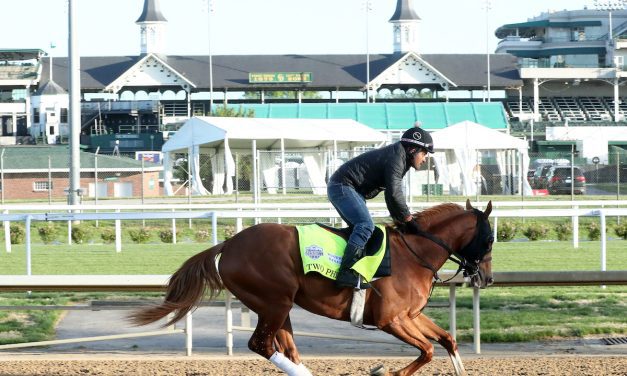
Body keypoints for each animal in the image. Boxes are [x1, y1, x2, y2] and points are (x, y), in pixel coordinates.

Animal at [132, 200, 496, 374]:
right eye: (490, 237)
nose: (487, 278)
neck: (414, 253)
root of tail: (229, 243)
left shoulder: (410, 315)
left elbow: (446, 340)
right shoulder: (390, 320)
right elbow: (428, 350)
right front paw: (385, 372)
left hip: (279, 307)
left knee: (286, 349)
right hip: (274, 302)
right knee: (261, 345)